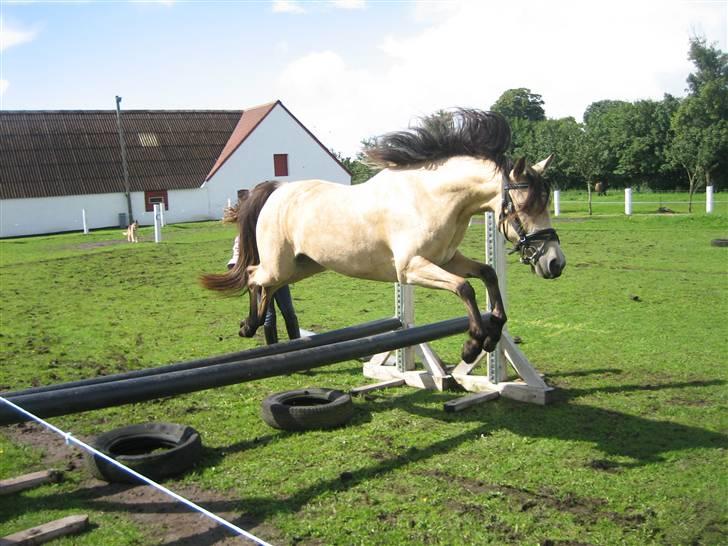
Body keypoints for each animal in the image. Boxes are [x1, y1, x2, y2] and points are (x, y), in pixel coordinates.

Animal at [201, 109, 566, 364]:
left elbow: (487, 274)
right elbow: (465, 288)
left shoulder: (447, 259)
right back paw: (249, 326)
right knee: (253, 276)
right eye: (524, 206)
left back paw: (252, 325)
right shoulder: (411, 268)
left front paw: (491, 335)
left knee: (266, 286)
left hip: (302, 267)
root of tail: (276, 189)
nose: (555, 263)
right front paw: (473, 344)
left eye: (545, 202)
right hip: (281, 264)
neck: (432, 199)